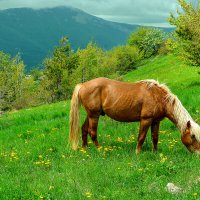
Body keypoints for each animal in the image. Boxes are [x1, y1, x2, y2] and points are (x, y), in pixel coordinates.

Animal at [69, 77, 200, 154]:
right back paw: (100, 150)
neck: (158, 97)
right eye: (193, 136)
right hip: (94, 115)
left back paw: (85, 148)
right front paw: (138, 153)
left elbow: (155, 138)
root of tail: (83, 85)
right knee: (92, 133)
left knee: (84, 129)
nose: (198, 154)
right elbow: (141, 137)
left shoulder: (155, 121)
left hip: (91, 114)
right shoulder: (146, 120)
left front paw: (155, 153)